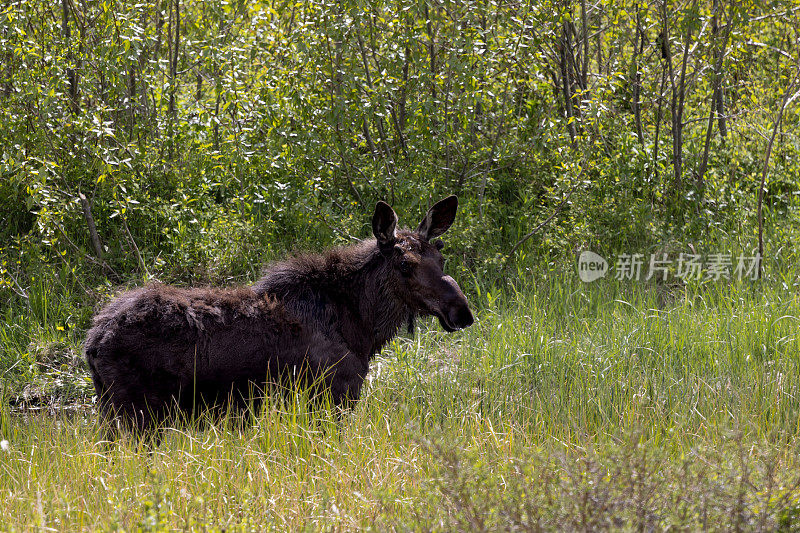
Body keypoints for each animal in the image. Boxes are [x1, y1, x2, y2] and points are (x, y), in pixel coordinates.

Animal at [86, 195, 476, 432]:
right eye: (405, 265)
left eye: (441, 257)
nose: (461, 311)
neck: (362, 327)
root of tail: (92, 342)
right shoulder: (333, 395)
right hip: (137, 415)